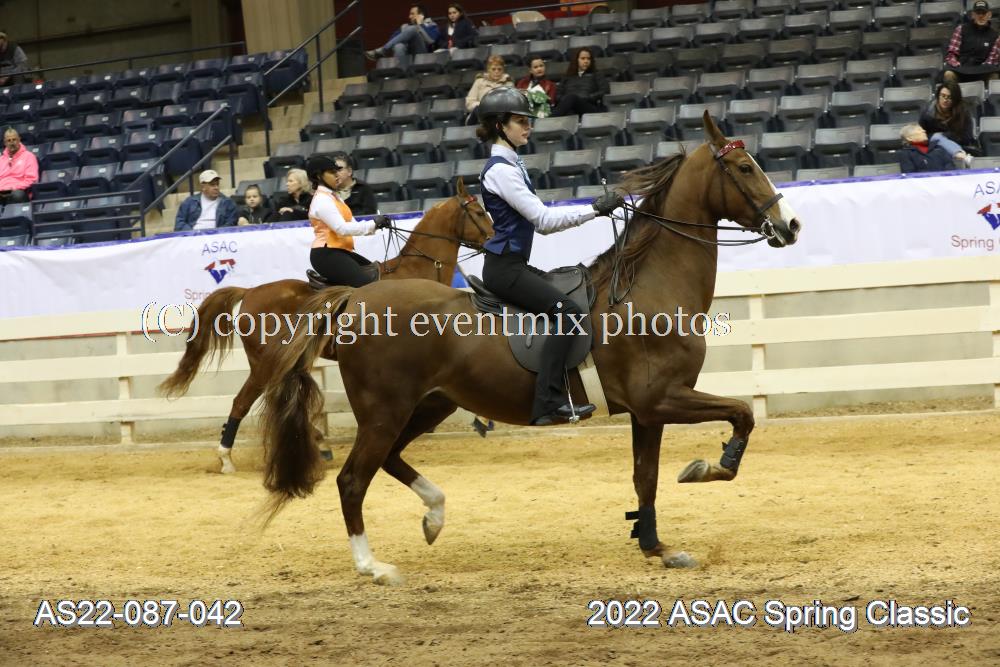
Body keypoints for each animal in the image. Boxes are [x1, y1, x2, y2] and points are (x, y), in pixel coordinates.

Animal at [157, 177, 493, 473]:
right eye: (478, 212)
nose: (493, 243)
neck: (415, 271)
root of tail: (250, 291)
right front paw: (480, 418)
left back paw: (318, 445)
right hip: (266, 363)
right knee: (243, 401)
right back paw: (227, 458)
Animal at [254, 112, 801, 584]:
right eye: (743, 167)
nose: (791, 225)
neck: (645, 290)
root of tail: (355, 300)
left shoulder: (647, 412)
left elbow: (645, 477)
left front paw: (657, 547)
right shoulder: (660, 399)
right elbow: (741, 415)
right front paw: (709, 467)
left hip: (429, 404)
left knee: (387, 460)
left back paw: (434, 516)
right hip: (385, 410)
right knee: (352, 479)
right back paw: (374, 566)